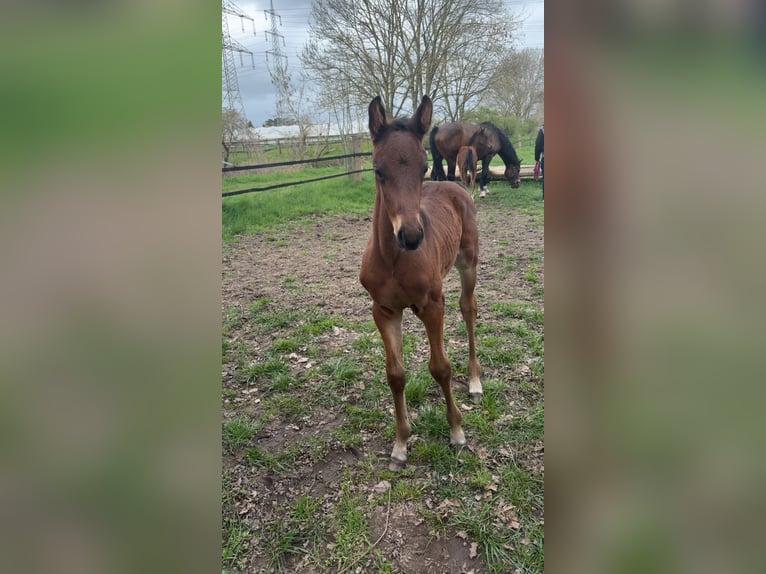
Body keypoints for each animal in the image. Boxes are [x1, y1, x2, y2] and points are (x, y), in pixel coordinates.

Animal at [359, 95, 483, 471]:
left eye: (422, 168)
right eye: (378, 170)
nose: (411, 236)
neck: (393, 259)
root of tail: (453, 184)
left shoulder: (431, 305)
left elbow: (440, 367)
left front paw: (457, 432)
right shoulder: (384, 310)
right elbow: (395, 374)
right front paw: (400, 444)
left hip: (468, 263)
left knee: (468, 308)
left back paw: (475, 381)